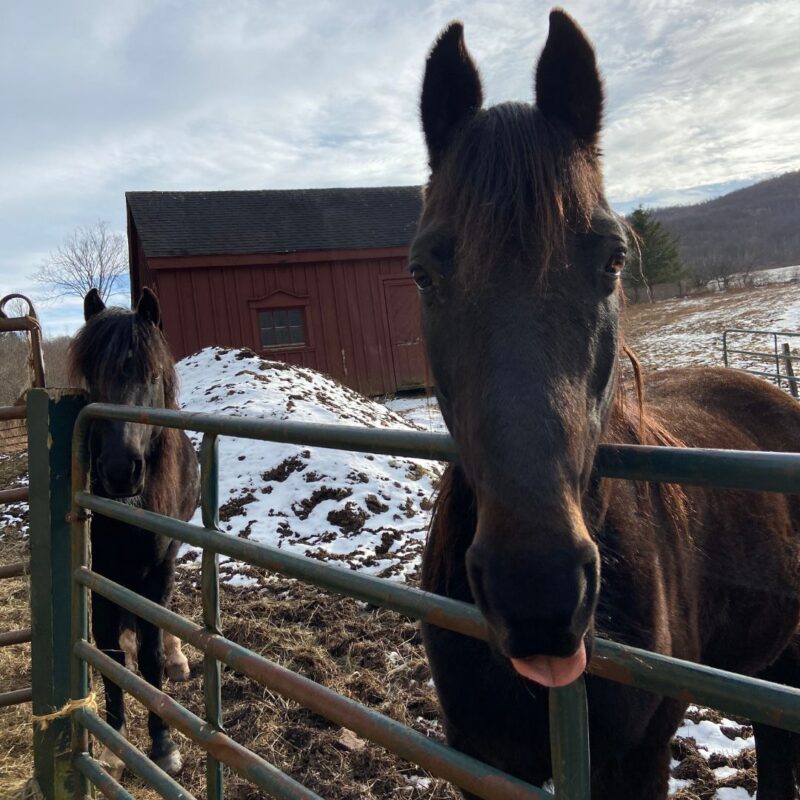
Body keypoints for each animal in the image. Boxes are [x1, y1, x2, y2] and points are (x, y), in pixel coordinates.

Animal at [70, 290, 198, 780]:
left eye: (153, 374)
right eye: (92, 378)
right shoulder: (100, 571)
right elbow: (110, 652)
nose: (121, 470)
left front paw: (163, 745)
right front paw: (114, 742)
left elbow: (150, 655)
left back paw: (178, 654)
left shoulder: (159, 564)